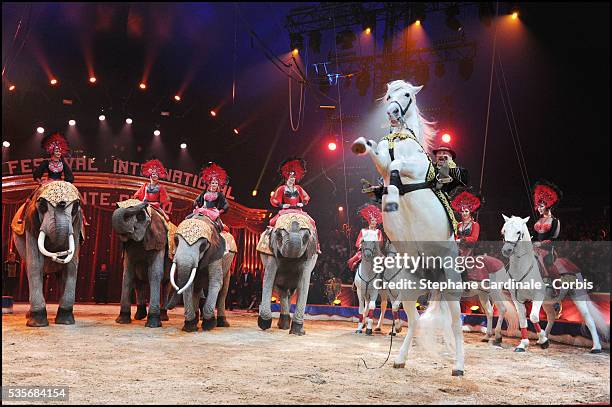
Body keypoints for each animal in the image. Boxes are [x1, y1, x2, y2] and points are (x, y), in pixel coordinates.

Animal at [10, 182, 83, 328]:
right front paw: (37, 323)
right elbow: (35, 265)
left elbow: (72, 266)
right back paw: (29, 315)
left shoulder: (76, 226)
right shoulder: (31, 224)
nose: (58, 255)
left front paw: (66, 322)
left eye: (75, 207)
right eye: (43, 205)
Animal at [111, 199, 175, 330]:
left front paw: (153, 324)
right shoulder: (129, 246)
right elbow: (127, 274)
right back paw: (139, 317)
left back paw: (163, 317)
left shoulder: (158, 240)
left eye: (141, 216)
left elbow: (155, 274)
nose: (146, 202)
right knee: (139, 282)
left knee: (166, 285)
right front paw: (122, 321)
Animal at [352, 80, 466, 380]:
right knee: (413, 323)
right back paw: (399, 359)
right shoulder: (381, 162)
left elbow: (396, 165)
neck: (400, 139)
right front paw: (361, 144)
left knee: (456, 326)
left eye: (406, 95)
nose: (392, 113)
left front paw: (392, 197)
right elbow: (379, 157)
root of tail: (433, 275)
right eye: (388, 95)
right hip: (407, 291)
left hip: (451, 288)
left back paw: (458, 366)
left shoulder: (415, 168)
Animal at [502, 217, 608, 354]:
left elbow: (534, 317)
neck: (522, 267)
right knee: (551, 317)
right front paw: (523, 344)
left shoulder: (538, 295)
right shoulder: (517, 299)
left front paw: (543, 340)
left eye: (518, 232)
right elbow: (522, 319)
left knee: (588, 319)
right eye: (504, 231)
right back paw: (543, 338)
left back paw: (596, 347)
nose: (506, 250)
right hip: (547, 301)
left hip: (577, 295)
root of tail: (571, 264)